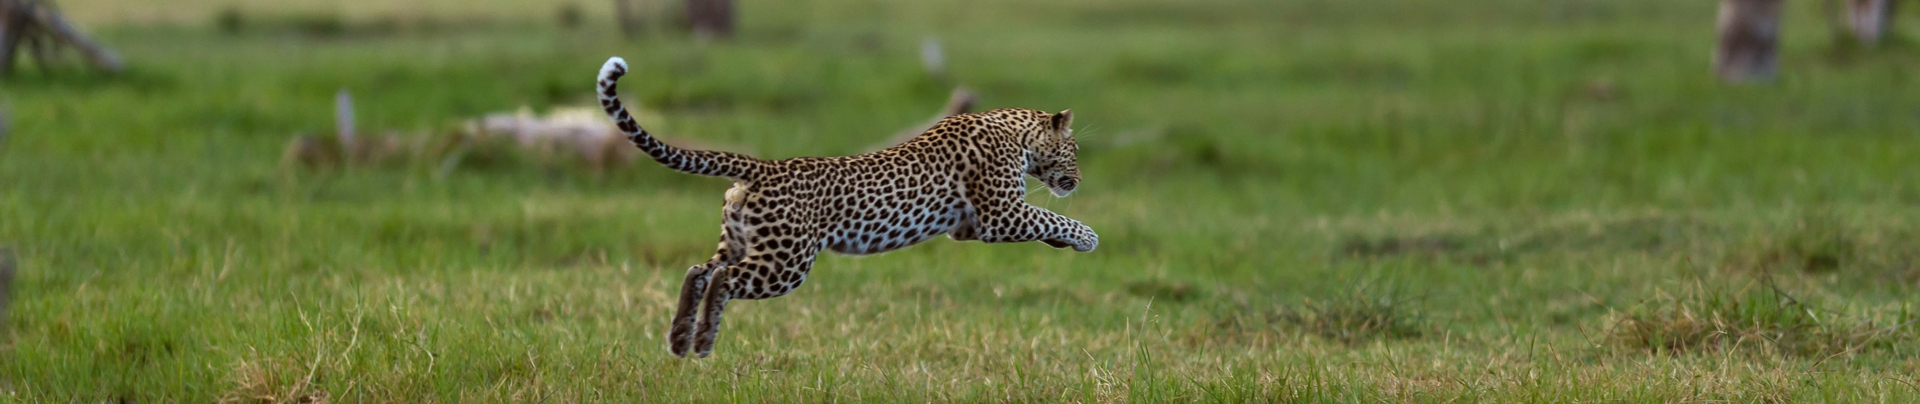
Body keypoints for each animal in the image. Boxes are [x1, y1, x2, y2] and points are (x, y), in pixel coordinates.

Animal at [595, 56, 1098, 358]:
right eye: (1074, 148)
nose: (1077, 180)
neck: (1016, 132)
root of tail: (762, 166)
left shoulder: (971, 226)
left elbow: (1046, 221)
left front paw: (1068, 242)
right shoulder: (1000, 214)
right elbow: (1052, 215)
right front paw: (1088, 237)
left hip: (740, 241)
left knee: (698, 270)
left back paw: (681, 339)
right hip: (785, 262)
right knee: (722, 279)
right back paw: (701, 341)